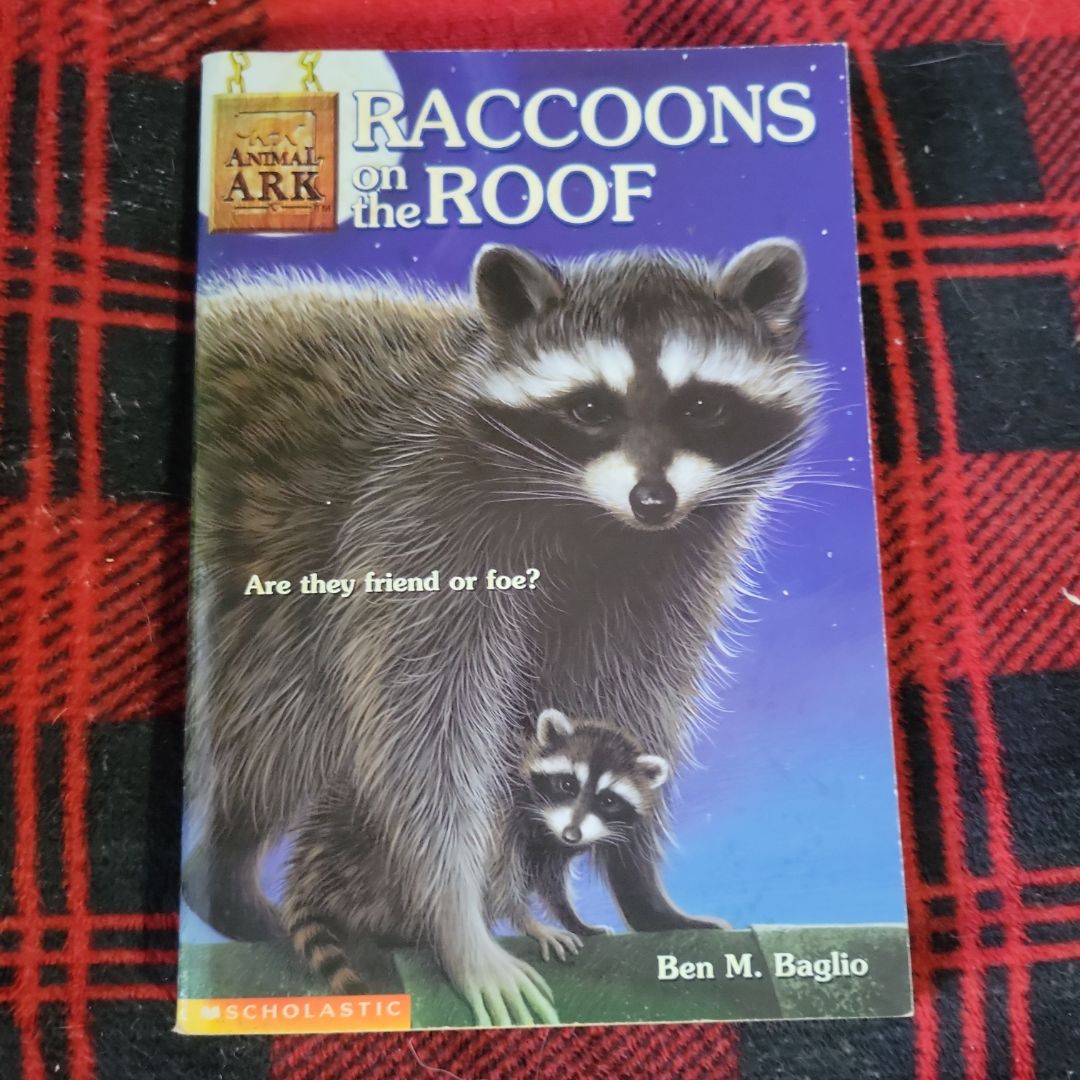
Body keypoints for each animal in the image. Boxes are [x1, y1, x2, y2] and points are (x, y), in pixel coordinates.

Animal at [184, 239, 821, 1025]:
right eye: (589, 408)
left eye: (702, 405)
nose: (652, 499)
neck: (589, 518)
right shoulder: (418, 518)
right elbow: (424, 727)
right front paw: (456, 917)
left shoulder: (666, 563)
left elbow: (630, 695)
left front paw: (637, 880)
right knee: (277, 726)